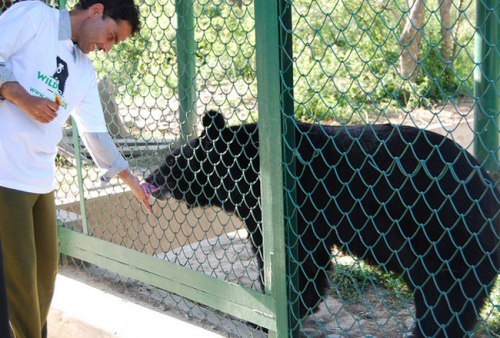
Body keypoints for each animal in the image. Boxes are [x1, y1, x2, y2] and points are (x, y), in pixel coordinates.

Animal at [144, 109, 496, 336]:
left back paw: (427, 329)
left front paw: (266, 315)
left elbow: (301, 260)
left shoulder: (301, 204)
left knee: (448, 296)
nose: (149, 178)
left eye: (171, 160)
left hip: (448, 237)